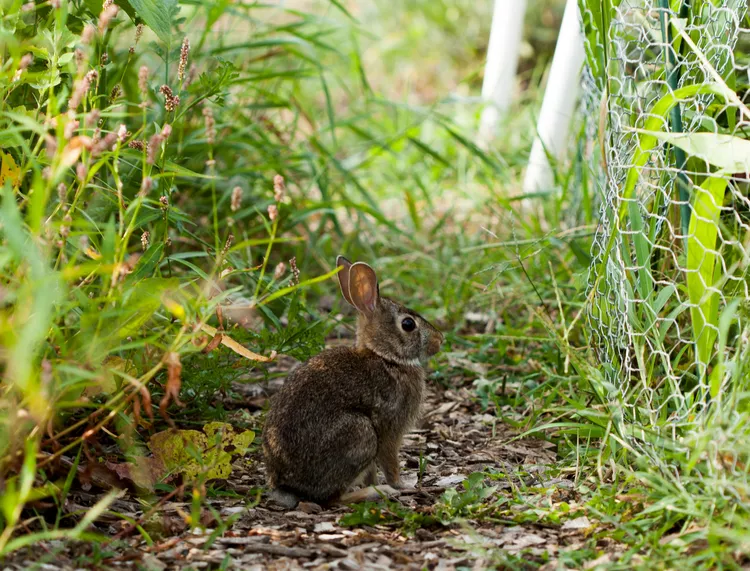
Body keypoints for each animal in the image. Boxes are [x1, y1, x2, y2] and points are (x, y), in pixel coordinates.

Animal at [262, 255, 444, 508]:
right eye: (408, 324)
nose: (440, 340)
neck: (386, 357)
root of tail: (283, 482)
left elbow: (371, 472)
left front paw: (377, 483)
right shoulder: (390, 429)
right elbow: (390, 461)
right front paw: (401, 485)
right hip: (360, 433)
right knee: (332, 498)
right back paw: (376, 493)